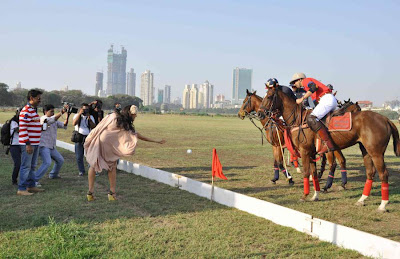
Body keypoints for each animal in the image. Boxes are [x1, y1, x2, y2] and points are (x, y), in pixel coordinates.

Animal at [258, 86, 398, 212]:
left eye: (269, 96)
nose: (259, 113)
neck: (298, 119)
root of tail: (386, 119)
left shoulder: (304, 151)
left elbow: (306, 173)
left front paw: (304, 195)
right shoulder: (311, 153)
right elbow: (314, 173)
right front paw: (315, 195)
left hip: (376, 153)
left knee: (383, 174)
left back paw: (382, 205)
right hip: (366, 151)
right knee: (370, 172)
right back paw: (362, 199)